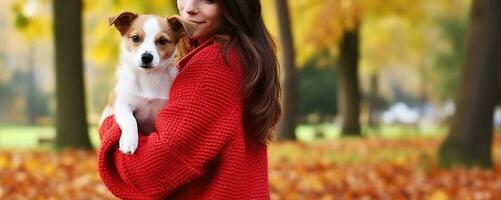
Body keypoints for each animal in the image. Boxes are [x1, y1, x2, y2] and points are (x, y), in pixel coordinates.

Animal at [99, 11, 195, 155]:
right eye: (135, 38)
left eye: (162, 40)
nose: (146, 57)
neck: (148, 77)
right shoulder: (122, 105)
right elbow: (130, 120)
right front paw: (129, 141)